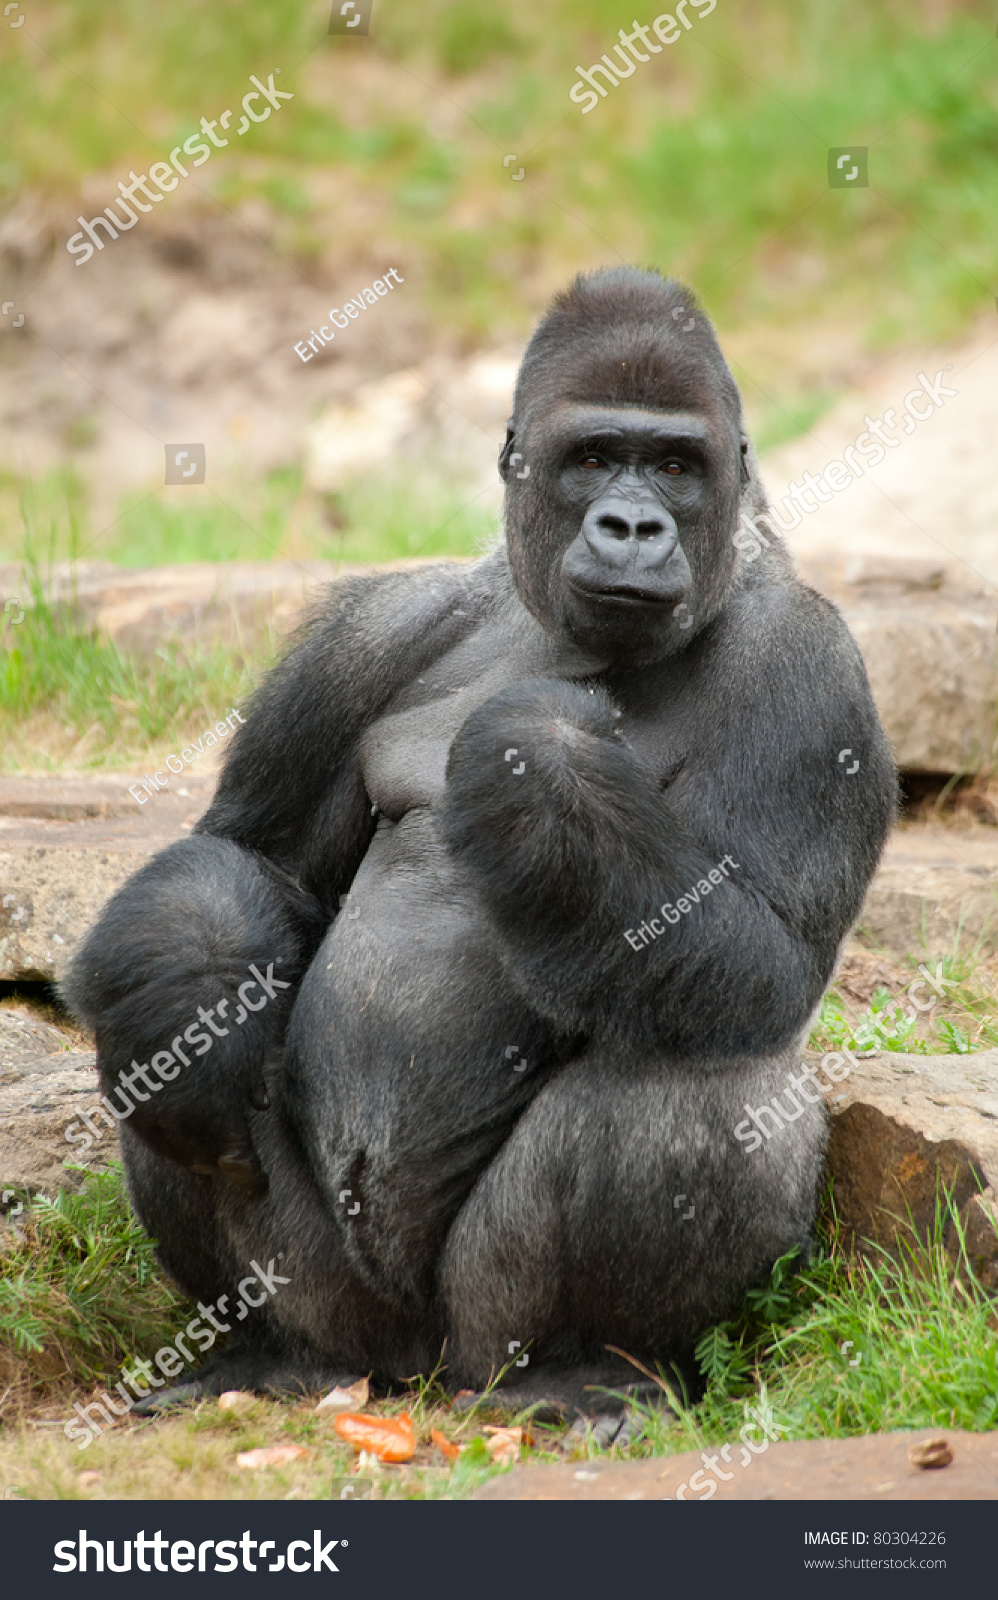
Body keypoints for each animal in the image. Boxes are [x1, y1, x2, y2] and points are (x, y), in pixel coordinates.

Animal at [62, 268, 895, 1420]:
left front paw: (534, 756)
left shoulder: (813, 666)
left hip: (484, 1323)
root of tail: (417, 1368)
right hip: (343, 1309)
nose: (631, 523)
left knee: (705, 1081)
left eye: (675, 467)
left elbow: (765, 964)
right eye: (591, 456)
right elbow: (255, 858)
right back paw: (263, 1345)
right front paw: (191, 981)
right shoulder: (372, 627)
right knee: (172, 1075)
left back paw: (592, 1364)